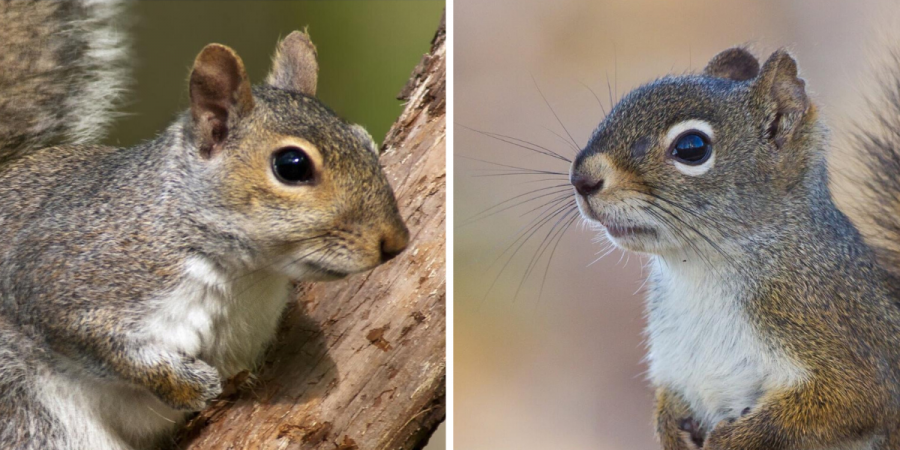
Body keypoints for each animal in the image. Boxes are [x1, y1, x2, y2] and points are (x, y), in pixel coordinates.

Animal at [0, 1, 408, 448]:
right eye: (292, 165)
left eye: (365, 141)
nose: (396, 241)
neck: (243, 275)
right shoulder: (61, 274)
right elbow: (101, 344)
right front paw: (189, 387)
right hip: (26, 413)